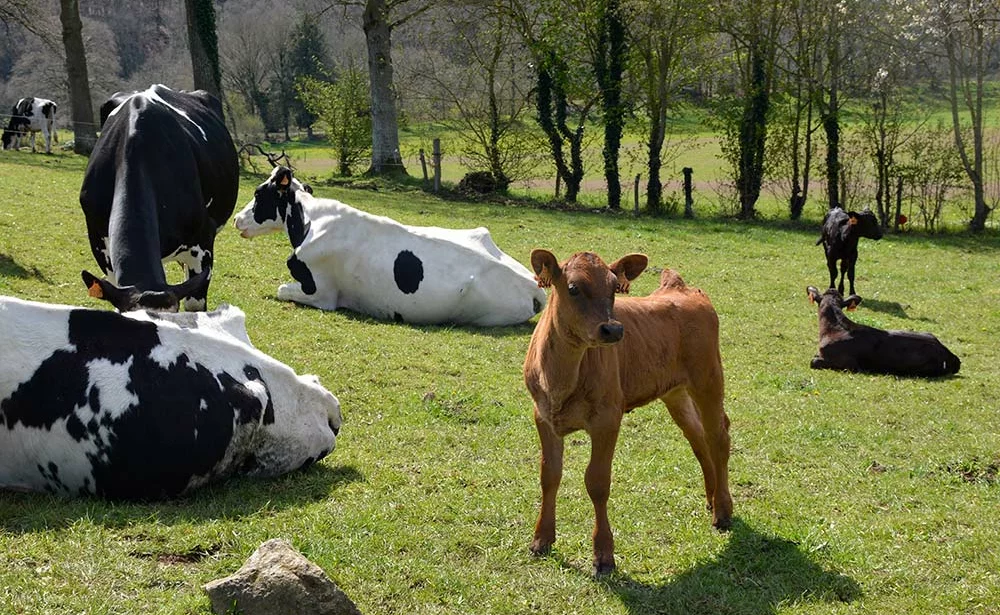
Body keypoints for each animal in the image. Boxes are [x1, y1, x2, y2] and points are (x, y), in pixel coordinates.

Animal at [234, 164, 548, 328]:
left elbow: (281, 289)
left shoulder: (321, 293)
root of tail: (535, 284)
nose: (237, 218)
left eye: (258, 193)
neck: (311, 219)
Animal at [524, 250, 736, 576]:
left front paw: (603, 555)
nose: (613, 329)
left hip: (709, 379)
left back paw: (723, 511)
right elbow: (549, 475)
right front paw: (541, 539)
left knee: (718, 438)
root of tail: (680, 288)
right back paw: (712, 499)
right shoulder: (543, 416)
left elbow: (597, 482)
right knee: (698, 439)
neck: (560, 379)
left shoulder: (607, 419)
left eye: (615, 288)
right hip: (675, 393)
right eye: (573, 288)